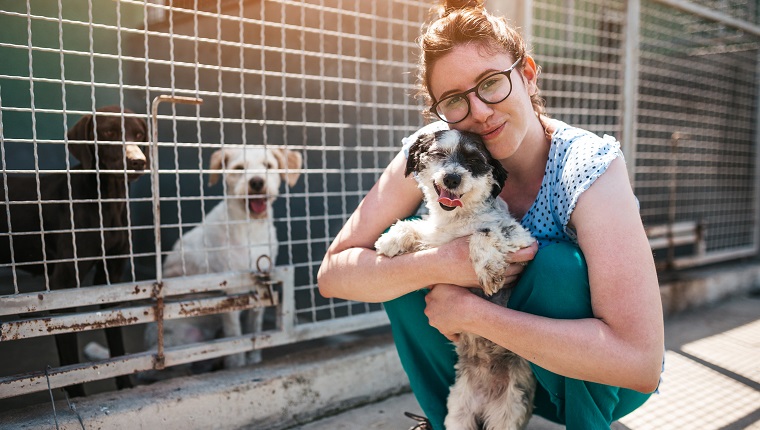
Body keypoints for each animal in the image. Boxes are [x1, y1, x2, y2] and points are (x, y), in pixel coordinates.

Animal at [0, 106, 148, 398]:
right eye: (109, 132)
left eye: (138, 135)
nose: (138, 161)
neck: (108, 202)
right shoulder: (64, 283)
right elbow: (69, 364)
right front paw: (77, 397)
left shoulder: (112, 279)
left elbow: (117, 344)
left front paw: (126, 385)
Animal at [378, 130, 536, 430]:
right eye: (438, 154)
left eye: (474, 160)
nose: (452, 178)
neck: (456, 219)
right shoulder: (434, 237)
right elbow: (413, 225)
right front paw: (391, 239)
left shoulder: (523, 241)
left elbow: (485, 231)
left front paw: (488, 268)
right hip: (459, 412)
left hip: (509, 411)